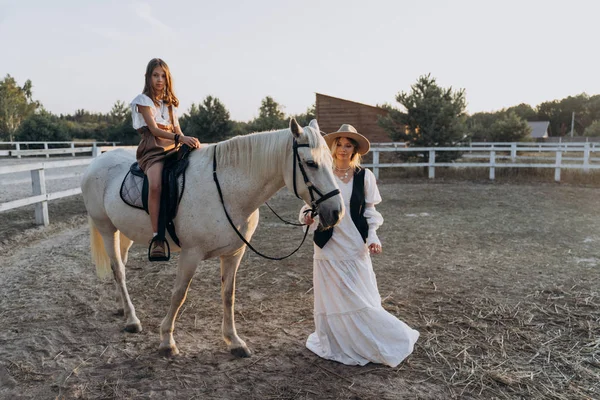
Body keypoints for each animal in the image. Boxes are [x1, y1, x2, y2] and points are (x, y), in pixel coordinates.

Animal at [81, 118, 342, 356]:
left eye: (332, 162)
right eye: (311, 163)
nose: (336, 212)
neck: (225, 190)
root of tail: (97, 162)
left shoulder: (234, 253)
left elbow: (228, 295)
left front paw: (234, 341)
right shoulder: (191, 254)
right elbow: (179, 294)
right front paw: (167, 341)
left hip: (124, 232)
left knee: (120, 267)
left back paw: (123, 308)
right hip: (106, 228)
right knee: (118, 269)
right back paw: (132, 320)